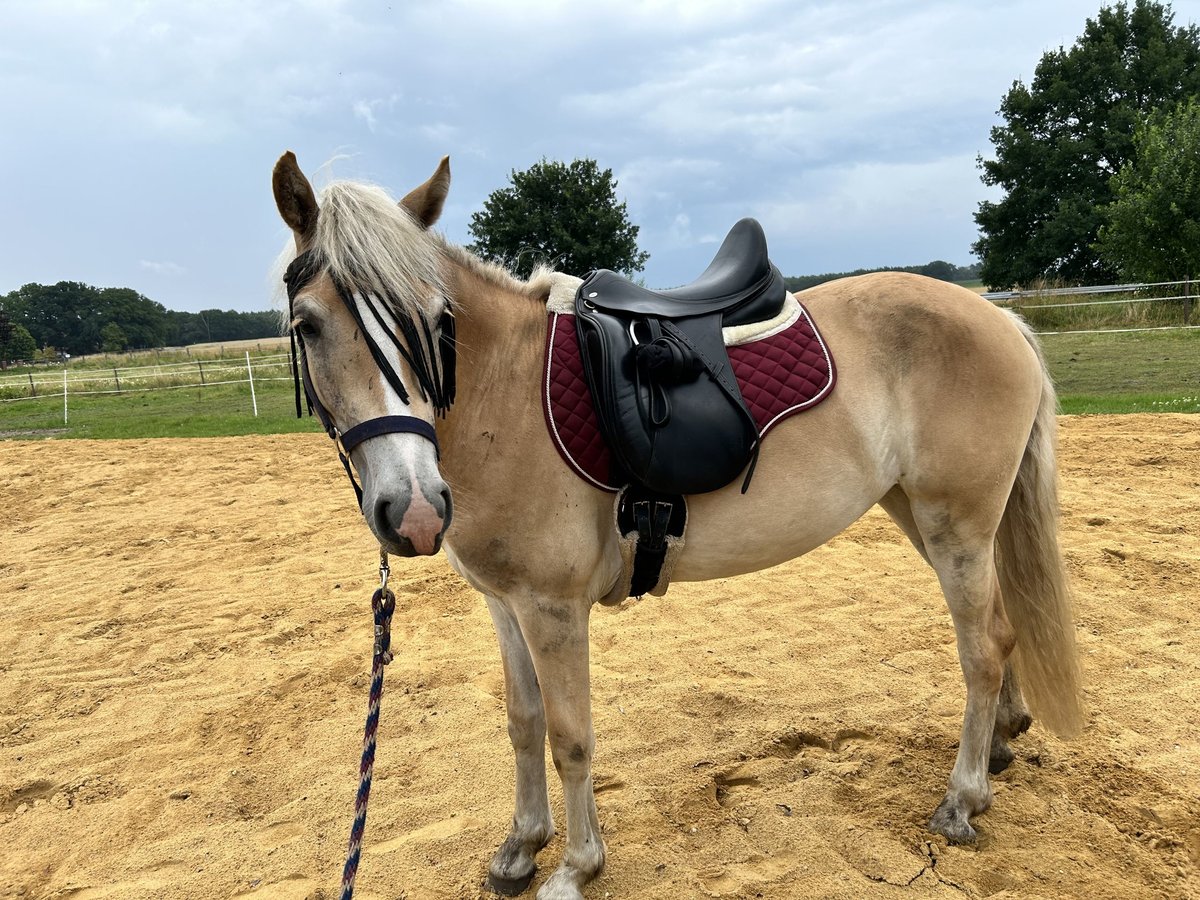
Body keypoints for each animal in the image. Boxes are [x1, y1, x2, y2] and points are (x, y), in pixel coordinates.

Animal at [276, 151, 1084, 897]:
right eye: (308, 326)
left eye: (438, 320)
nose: (414, 509)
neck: (504, 394)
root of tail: (999, 316)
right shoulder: (505, 604)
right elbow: (523, 722)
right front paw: (520, 847)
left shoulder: (552, 609)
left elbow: (570, 736)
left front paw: (576, 867)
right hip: (927, 518)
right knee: (1002, 626)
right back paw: (1001, 745)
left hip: (956, 525)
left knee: (983, 648)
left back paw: (962, 801)